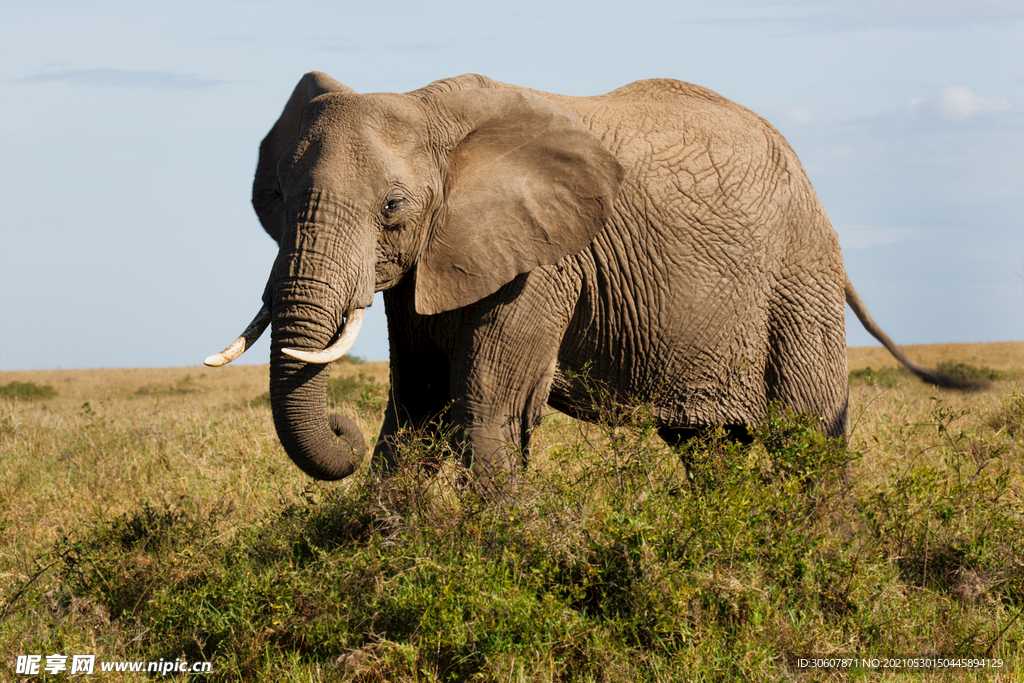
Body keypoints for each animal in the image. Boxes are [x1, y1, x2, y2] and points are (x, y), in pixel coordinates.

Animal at [203, 70, 970, 485]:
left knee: (809, 437)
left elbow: (488, 409)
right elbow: (416, 408)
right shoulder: (433, 260)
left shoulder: (543, 264)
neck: (431, 109)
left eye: (393, 207)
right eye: (275, 197)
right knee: (709, 451)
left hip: (797, 276)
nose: (342, 425)